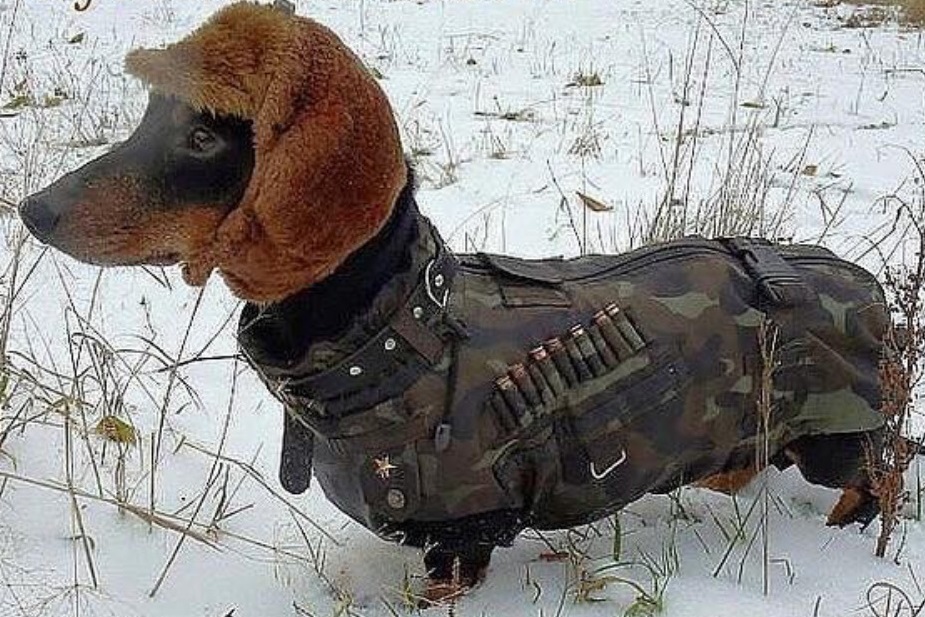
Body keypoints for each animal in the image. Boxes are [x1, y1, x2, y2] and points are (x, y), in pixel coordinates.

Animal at [19, 2, 893, 604]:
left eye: (204, 138)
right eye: (149, 115)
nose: (31, 209)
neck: (398, 333)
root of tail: (861, 281)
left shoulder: (463, 537)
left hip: (836, 439)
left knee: (883, 473)